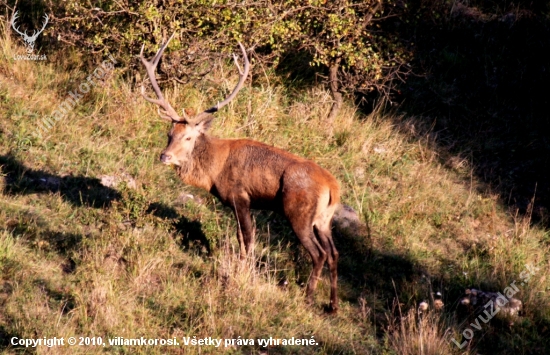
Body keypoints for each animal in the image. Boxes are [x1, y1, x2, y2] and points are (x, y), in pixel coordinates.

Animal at [139, 33, 340, 312]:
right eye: (169, 134)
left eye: (188, 137)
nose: (164, 156)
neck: (214, 173)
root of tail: (333, 188)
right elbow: (239, 236)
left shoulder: (240, 196)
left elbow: (247, 237)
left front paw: (242, 272)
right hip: (324, 219)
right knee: (334, 253)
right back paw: (333, 305)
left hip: (299, 212)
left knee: (319, 253)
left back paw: (309, 297)